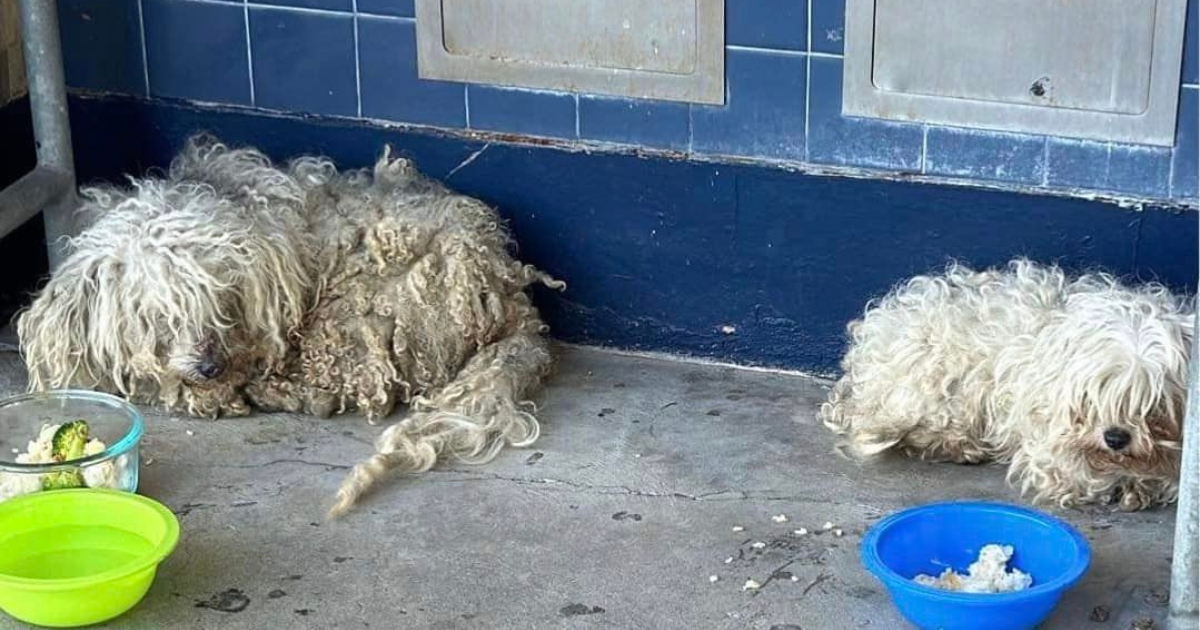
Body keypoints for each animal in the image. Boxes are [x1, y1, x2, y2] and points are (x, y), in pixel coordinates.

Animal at [14, 135, 564, 513]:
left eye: (222, 299)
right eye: (158, 318)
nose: (210, 367)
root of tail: (507, 288)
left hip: (365, 312)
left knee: (355, 382)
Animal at [820, 259, 1195, 511]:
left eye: (1154, 403)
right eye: (1092, 395)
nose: (1116, 438)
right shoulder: (1048, 450)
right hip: (936, 384)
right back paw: (959, 445)